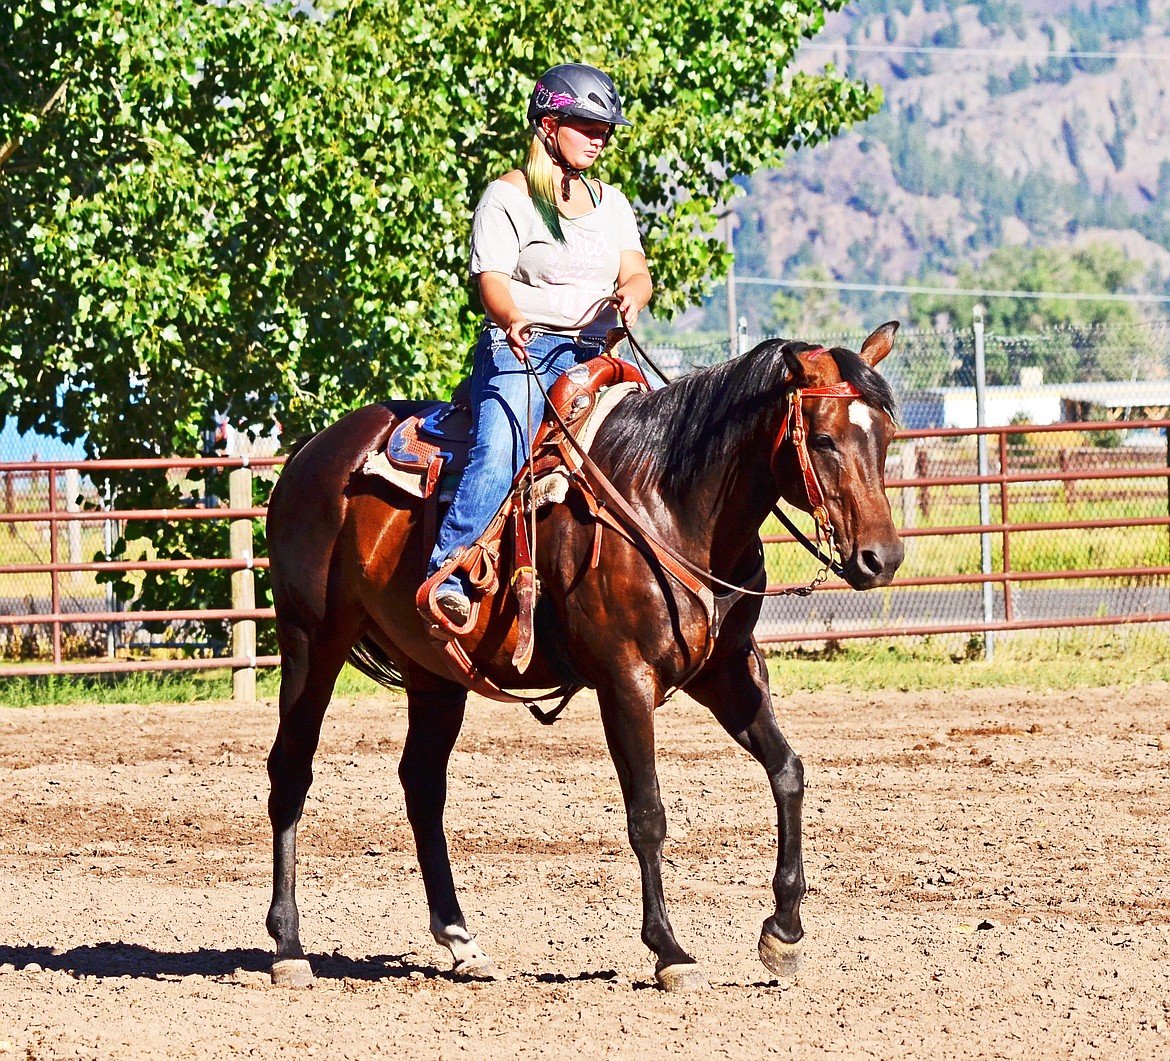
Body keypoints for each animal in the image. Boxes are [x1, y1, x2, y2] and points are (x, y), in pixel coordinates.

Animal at [265, 320, 903, 991]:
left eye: (886, 436)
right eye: (825, 439)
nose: (881, 559)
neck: (667, 503)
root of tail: (307, 456)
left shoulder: (728, 671)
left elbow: (788, 772)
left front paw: (782, 932)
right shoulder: (625, 680)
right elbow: (647, 812)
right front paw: (670, 951)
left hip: (435, 671)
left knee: (422, 783)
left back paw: (461, 939)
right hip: (311, 639)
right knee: (292, 770)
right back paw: (288, 945)